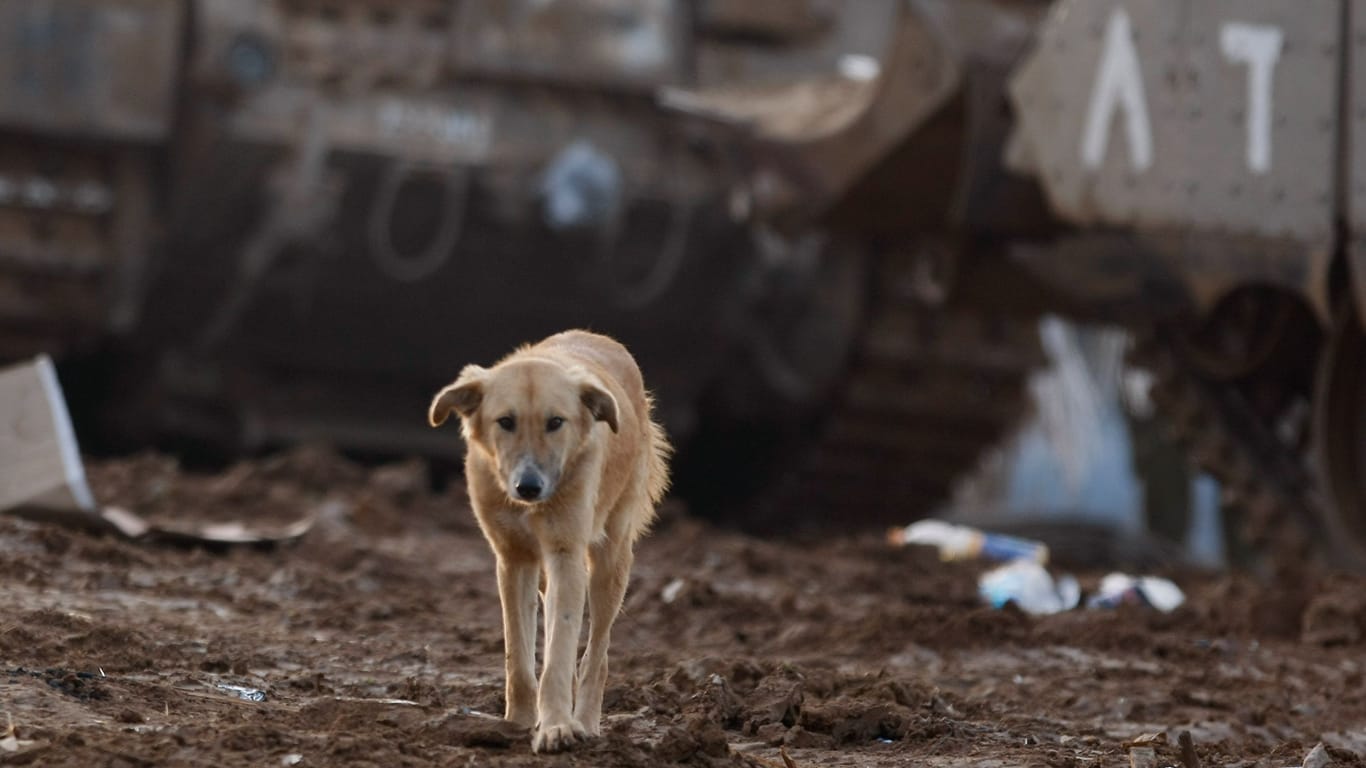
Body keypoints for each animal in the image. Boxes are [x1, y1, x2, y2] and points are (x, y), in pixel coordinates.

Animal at [420, 330, 666, 754]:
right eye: (506, 421)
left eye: (555, 422)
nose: (529, 486)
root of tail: (601, 338)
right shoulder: (514, 559)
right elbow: (518, 657)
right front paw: (517, 724)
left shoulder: (566, 555)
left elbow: (559, 655)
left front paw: (557, 727)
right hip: (547, 574)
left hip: (610, 563)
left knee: (596, 653)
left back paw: (585, 721)